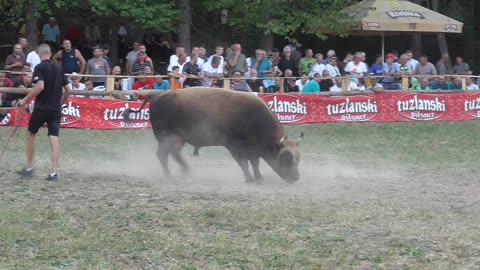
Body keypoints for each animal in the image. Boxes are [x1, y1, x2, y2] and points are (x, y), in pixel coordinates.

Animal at [125, 87, 302, 182]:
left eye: (298, 158)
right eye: (285, 158)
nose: (296, 177)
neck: (253, 118)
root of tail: (157, 95)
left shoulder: (253, 149)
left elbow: (254, 163)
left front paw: (258, 178)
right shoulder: (234, 146)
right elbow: (244, 163)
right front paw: (250, 179)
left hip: (177, 138)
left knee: (173, 154)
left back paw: (186, 171)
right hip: (167, 137)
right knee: (163, 155)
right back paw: (171, 177)